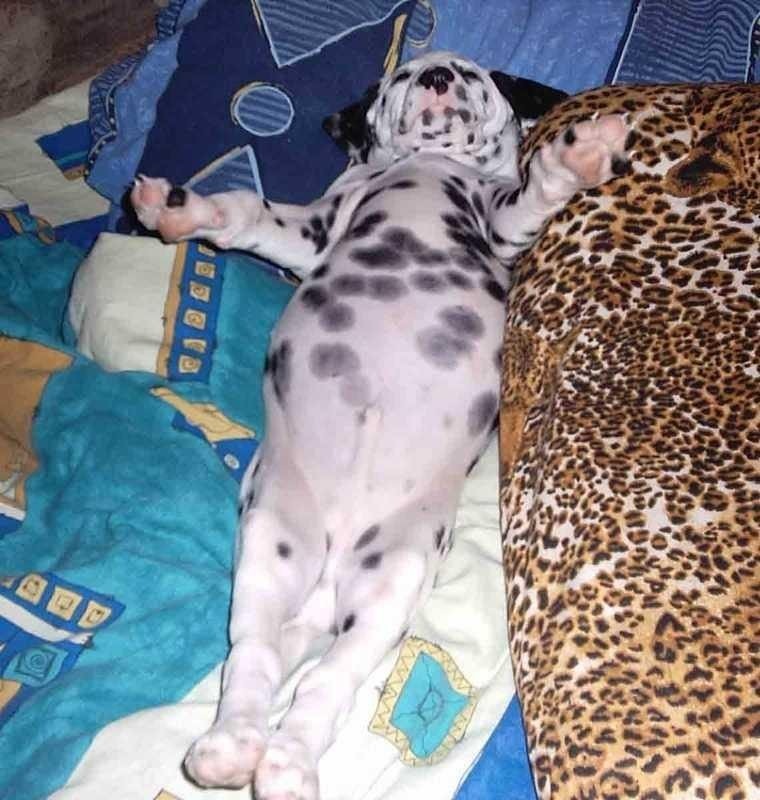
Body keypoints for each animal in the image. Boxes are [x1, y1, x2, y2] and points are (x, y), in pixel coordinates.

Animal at [131, 51, 630, 800]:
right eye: (401, 77)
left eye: (469, 73)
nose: (435, 78)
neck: (427, 165)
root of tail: (331, 575)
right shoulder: (313, 231)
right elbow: (249, 213)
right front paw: (183, 211)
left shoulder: (499, 218)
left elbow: (537, 187)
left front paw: (579, 153)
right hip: (274, 545)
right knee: (257, 658)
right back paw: (233, 746)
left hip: (392, 576)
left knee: (324, 681)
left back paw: (284, 762)